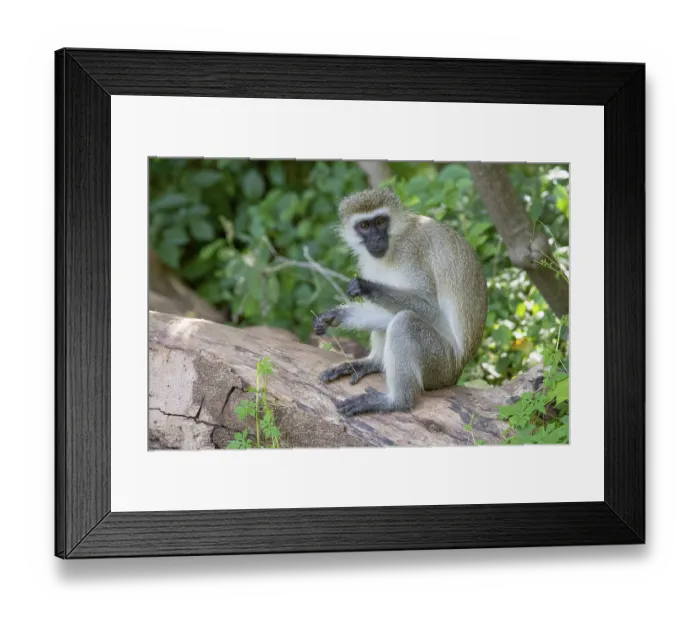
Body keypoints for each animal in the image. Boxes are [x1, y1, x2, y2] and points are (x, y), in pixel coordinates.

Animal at [313, 187, 488, 417]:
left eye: (380, 222)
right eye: (364, 226)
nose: (377, 238)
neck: (394, 245)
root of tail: (458, 371)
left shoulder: (411, 253)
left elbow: (431, 309)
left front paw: (366, 287)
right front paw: (337, 315)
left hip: (441, 365)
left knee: (405, 322)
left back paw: (396, 401)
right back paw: (373, 363)